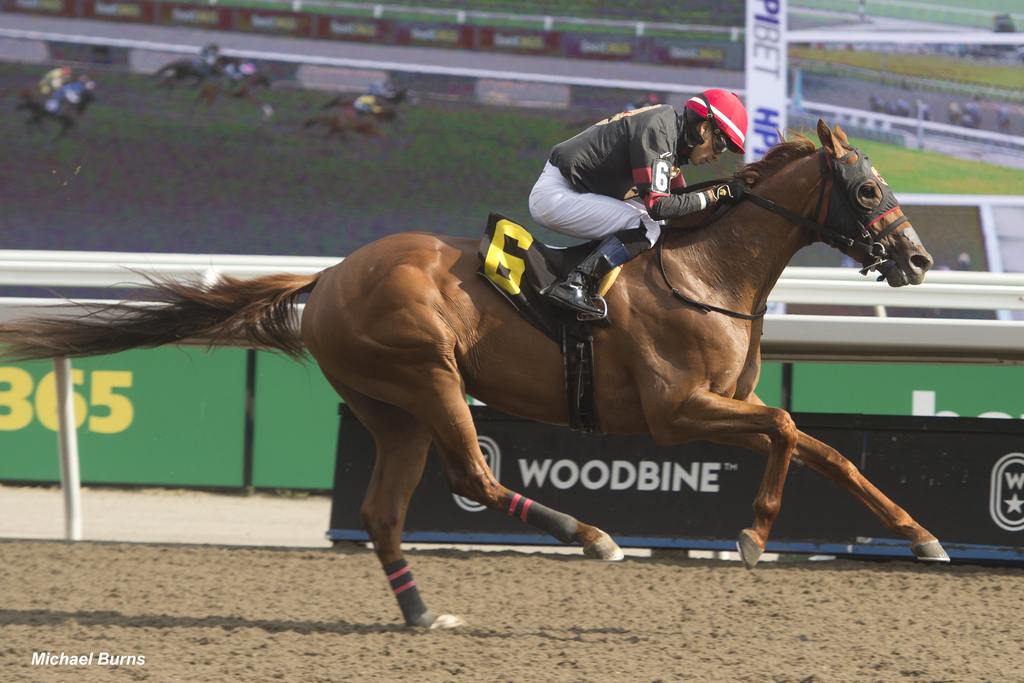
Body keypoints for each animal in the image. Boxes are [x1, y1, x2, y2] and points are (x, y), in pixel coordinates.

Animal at [0, 121, 946, 630]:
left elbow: (830, 450)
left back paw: (422, 614)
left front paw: (921, 536)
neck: (706, 269)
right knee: (473, 477)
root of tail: (329, 276)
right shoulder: (680, 411)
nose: (919, 258)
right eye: (867, 190)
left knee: (384, 513)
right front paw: (752, 534)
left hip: (391, 408)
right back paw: (592, 536)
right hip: (430, 378)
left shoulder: (729, 403)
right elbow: (787, 429)